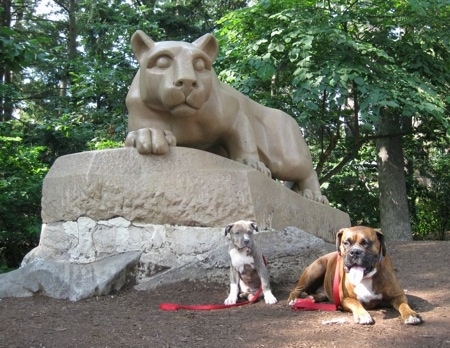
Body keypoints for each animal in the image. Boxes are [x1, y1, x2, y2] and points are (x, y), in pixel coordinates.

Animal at [288, 227, 422, 324]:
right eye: (346, 243)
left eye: (366, 243)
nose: (355, 252)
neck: (366, 277)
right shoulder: (345, 299)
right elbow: (356, 303)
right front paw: (363, 315)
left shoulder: (398, 296)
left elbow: (403, 305)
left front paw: (410, 314)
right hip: (316, 268)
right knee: (298, 289)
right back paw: (294, 299)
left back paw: (314, 297)